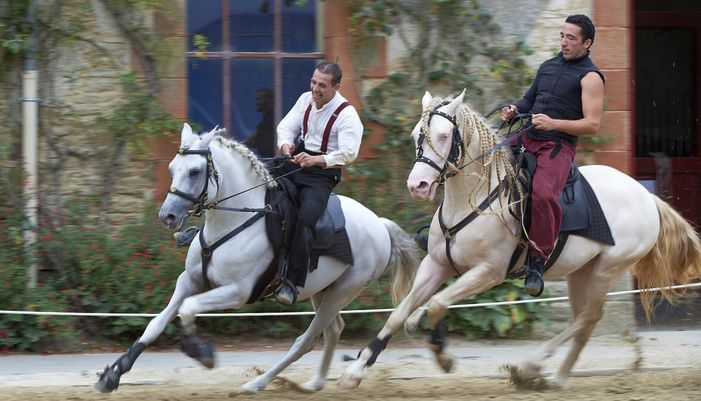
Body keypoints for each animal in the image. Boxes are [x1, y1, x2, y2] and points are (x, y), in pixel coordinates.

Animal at [95, 122, 418, 394]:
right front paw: (112, 374)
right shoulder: (190, 281)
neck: (231, 222)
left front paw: (202, 354)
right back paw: (314, 383)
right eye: (173, 168)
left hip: (343, 291)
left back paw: (255, 385)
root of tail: (379, 224)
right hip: (324, 291)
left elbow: (187, 311)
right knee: (333, 330)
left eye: (195, 171)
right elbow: (156, 324)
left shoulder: (236, 292)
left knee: (306, 341)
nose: (168, 217)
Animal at [340, 90, 700, 388]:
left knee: (587, 317)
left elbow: (440, 304)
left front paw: (443, 357)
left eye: (443, 136)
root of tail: (645, 196)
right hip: (581, 272)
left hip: (608, 269)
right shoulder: (437, 265)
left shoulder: (488, 272)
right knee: (584, 321)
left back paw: (532, 366)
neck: (476, 200)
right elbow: (400, 313)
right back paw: (556, 377)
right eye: (417, 134)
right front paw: (355, 371)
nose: (419, 186)